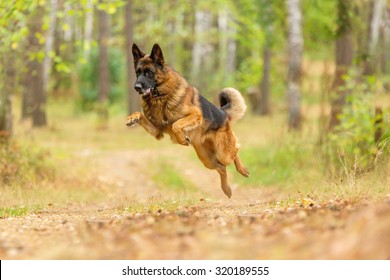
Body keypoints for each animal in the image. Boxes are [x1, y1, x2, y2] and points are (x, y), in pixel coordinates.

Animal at [128, 43, 250, 197]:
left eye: (149, 72)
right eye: (137, 73)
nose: (136, 87)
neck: (160, 97)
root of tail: (223, 114)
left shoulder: (195, 115)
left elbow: (175, 125)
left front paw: (182, 139)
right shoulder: (157, 131)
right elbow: (141, 114)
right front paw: (132, 118)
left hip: (223, 153)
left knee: (235, 150)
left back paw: (242, 169)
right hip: (207, 159)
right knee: (222, 168)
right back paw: (226, 189)